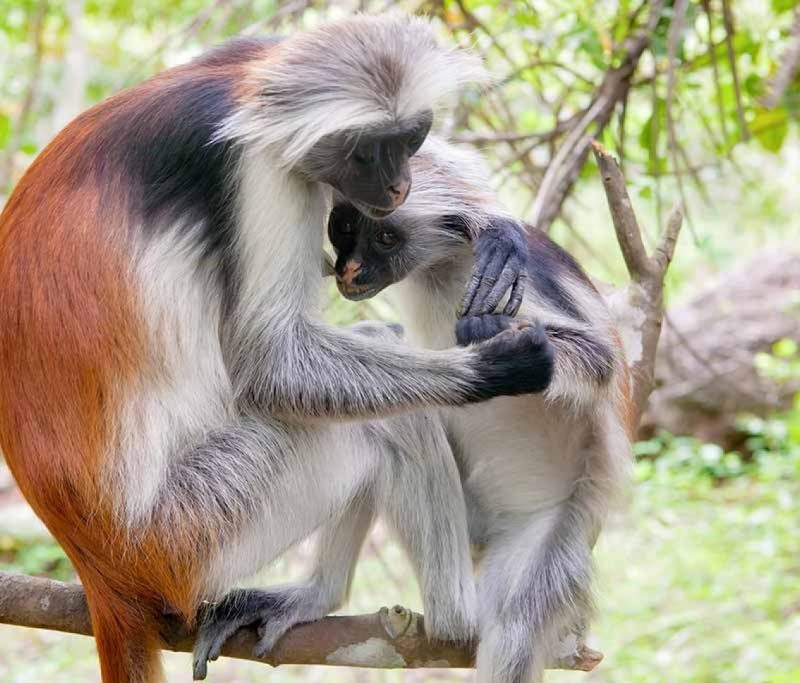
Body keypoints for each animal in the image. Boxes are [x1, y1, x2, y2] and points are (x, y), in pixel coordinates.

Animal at [0, 17, 557, 683]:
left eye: (410, 138)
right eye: (367, 150)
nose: (399, 185)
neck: (239, 96)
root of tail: (100, 569)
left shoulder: (254, 65)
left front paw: (483, 216)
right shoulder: (257, 170)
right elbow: (270, 365)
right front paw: (496, 367)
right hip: (192, 530)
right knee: (386, 423)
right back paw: (457, 621)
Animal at [327, 135, 635, 683]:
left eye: (384, 237)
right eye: (344, 226)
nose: (349, 269)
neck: (443, 265)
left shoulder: (520, 281)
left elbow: (599, 359)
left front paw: (494, 334)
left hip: (550, 527)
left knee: (514, 625)